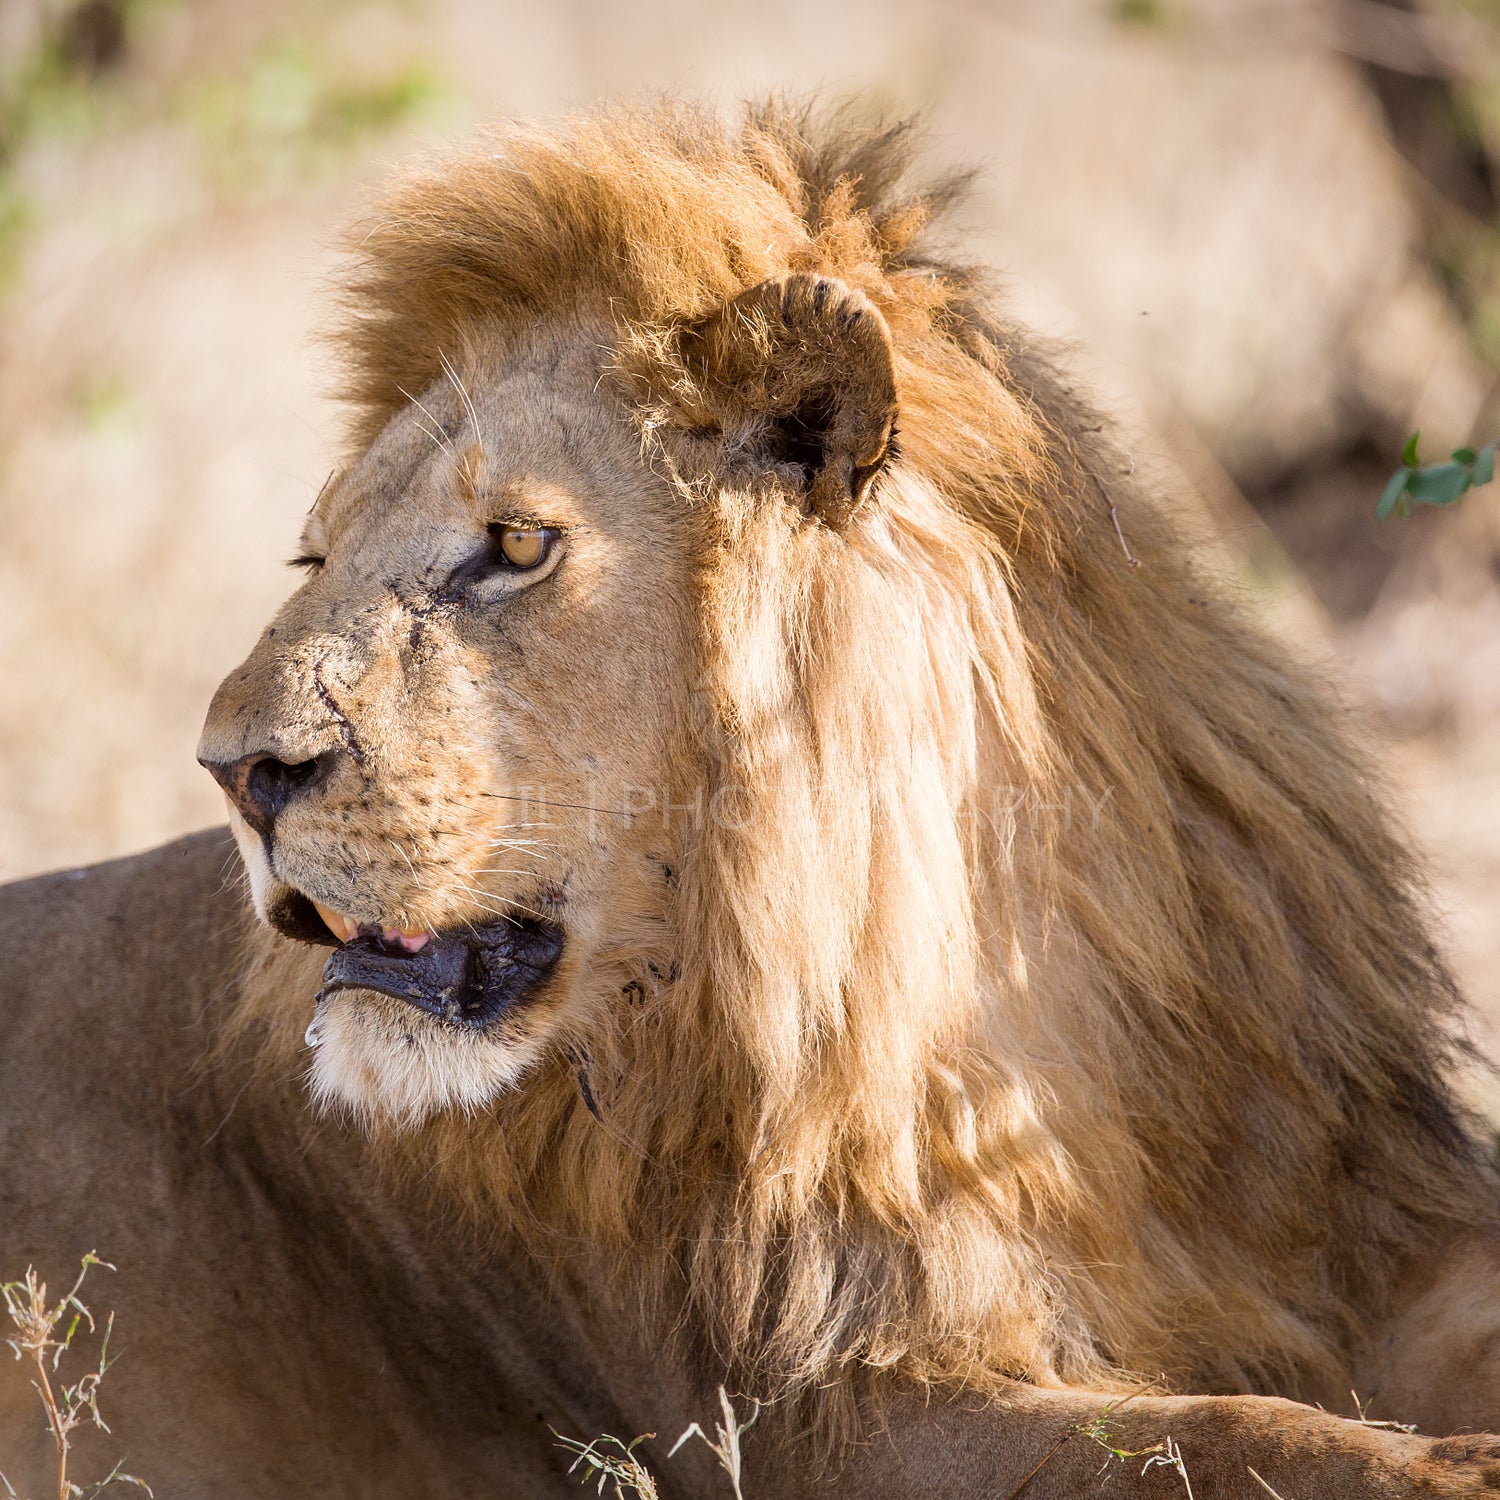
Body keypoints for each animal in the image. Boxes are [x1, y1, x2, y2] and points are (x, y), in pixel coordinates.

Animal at [2, 99, 1500, 1494]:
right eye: (314, 557)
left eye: (517, 547)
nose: (234, 768)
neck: (963, 984)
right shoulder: (817, 1412)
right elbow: (1228, 1439)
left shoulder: (1366, 1225)